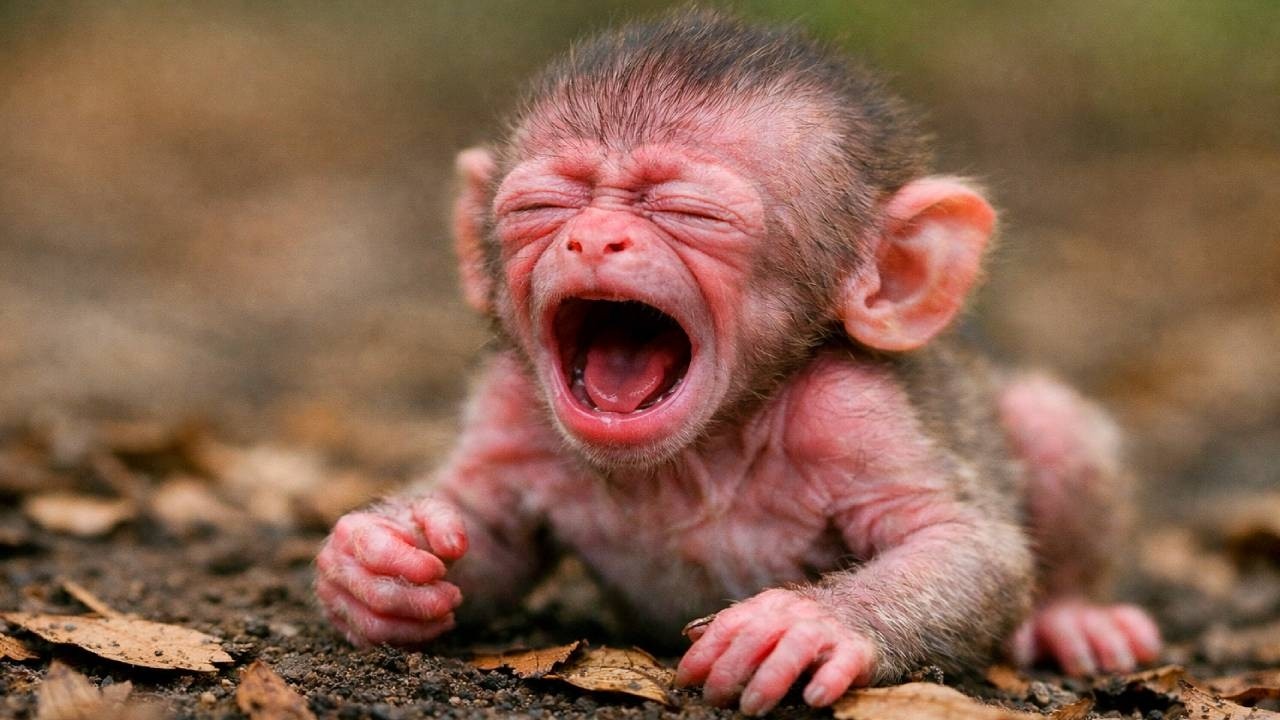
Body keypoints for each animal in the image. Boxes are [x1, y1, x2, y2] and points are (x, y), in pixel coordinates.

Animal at [314, 11, 1161, 716]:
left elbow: (965, 544)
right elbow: (489, 527)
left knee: (1050, 423)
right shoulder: (510, 404)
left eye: (690, 213)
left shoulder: (853, 411)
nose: (593, 238)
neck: (696, 454)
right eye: (544, 207)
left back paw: (1074, 618)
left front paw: (807, 623)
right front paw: (378, 562)